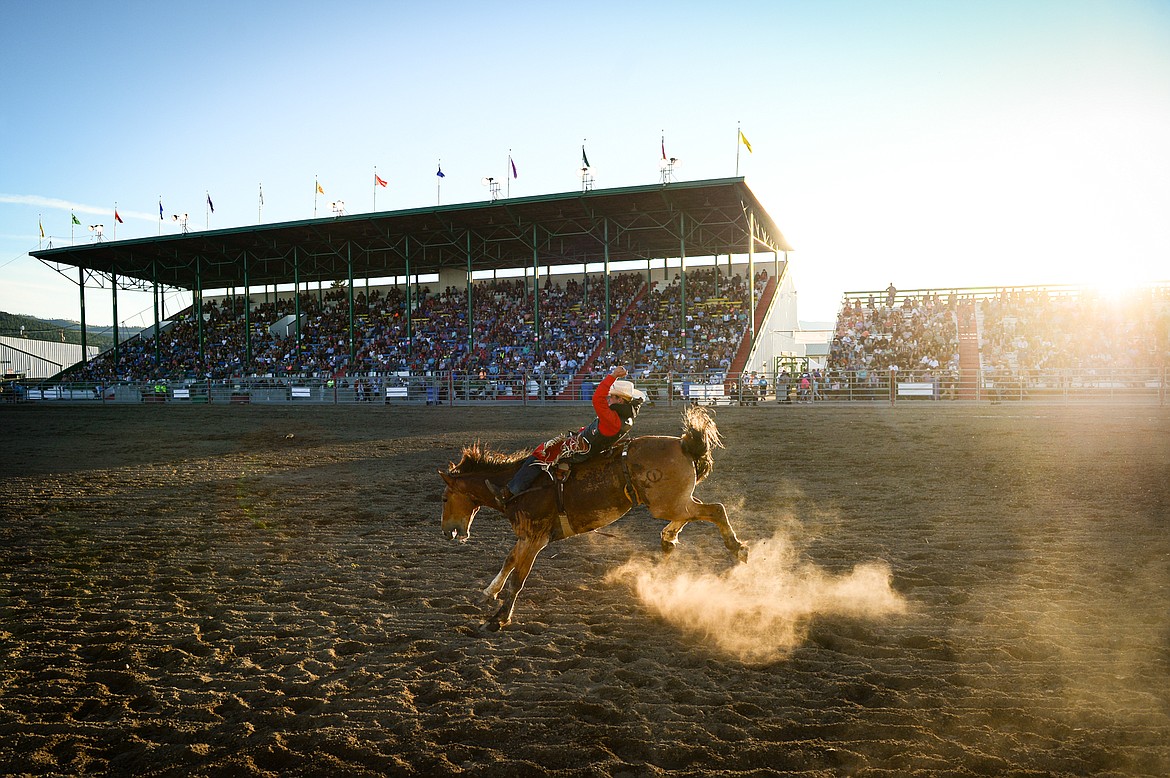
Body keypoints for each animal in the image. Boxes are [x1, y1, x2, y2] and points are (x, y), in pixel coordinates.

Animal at [439, 402, 748, 627]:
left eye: (444, 498)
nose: (447, 531)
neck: (515, 486)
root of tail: (685, 443)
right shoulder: (525, 536)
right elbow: (508, 562)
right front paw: (488, 593)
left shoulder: (535, 538)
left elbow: (518, 578)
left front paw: (499, 619)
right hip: (671, 501)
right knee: (695, 511)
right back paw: (668, 539)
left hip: (666, 503)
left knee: (715, 509)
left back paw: (736, 548)